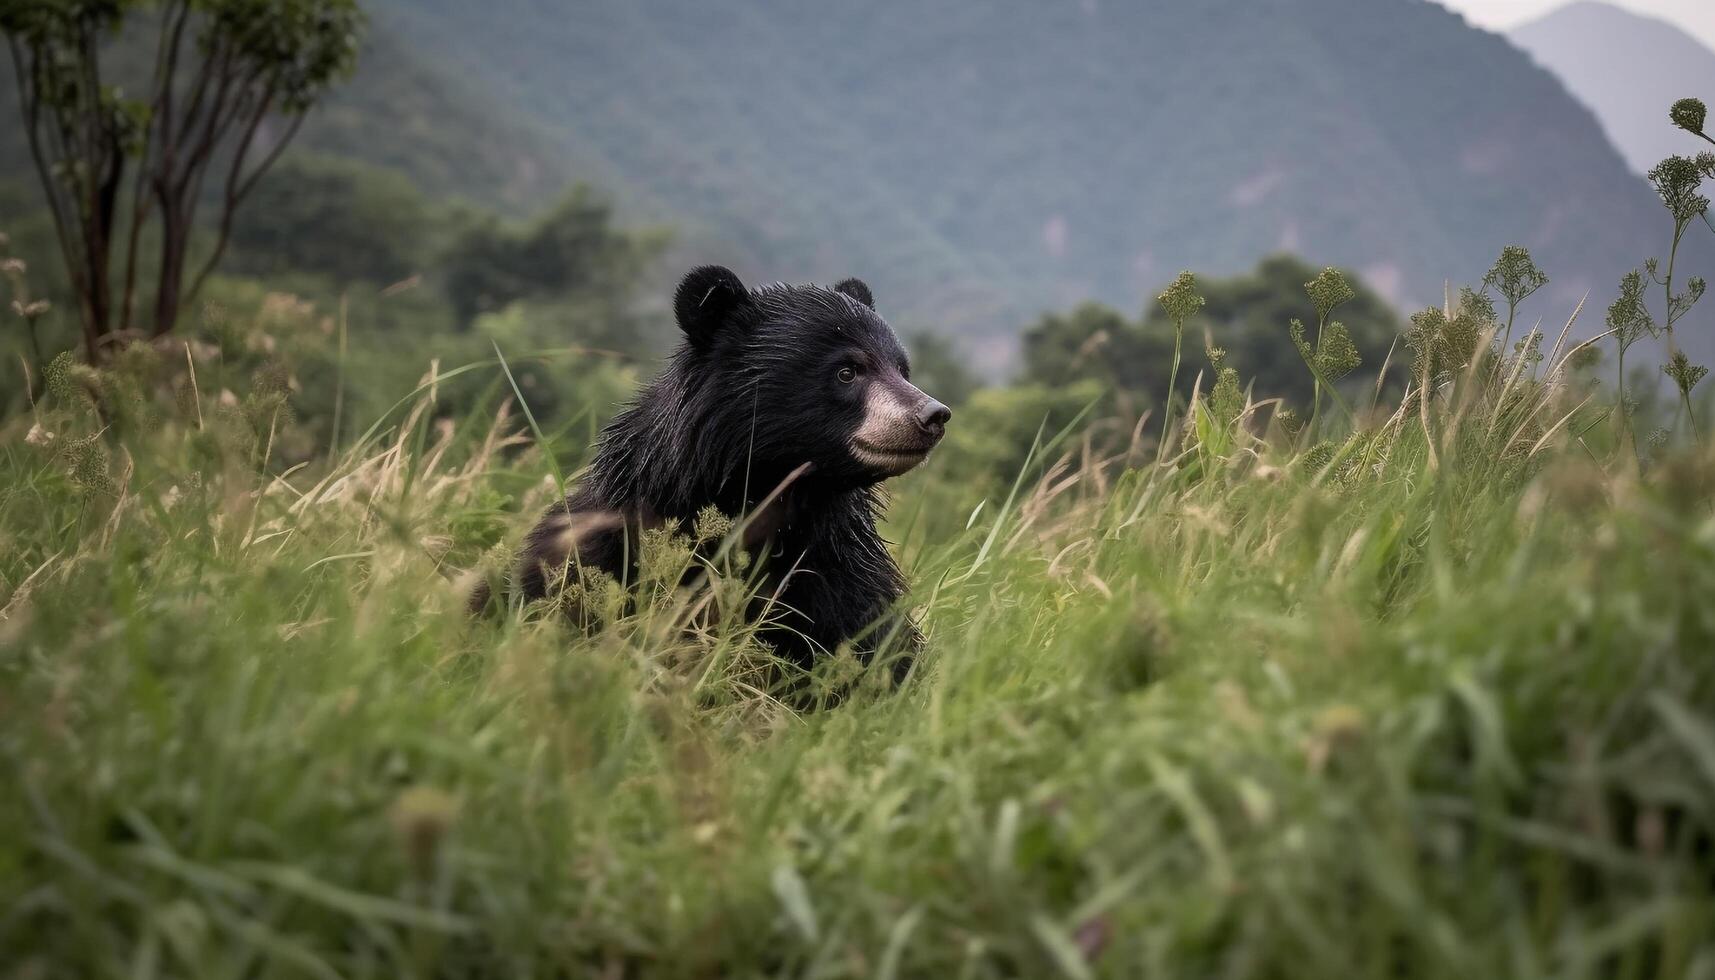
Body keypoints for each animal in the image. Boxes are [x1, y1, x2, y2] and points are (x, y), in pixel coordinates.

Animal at [480, 264, 953, 679]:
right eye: (847, 371)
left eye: (902, 369)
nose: (932, 415)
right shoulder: (605, 549)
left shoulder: (837, 570)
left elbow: (874, 645)